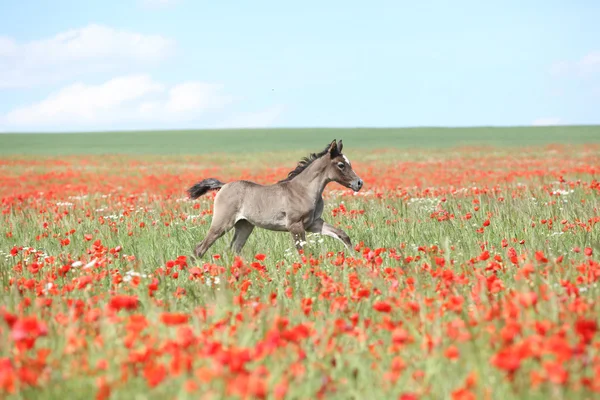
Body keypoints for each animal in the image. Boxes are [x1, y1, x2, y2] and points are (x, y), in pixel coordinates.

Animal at [190, 141, 364, 258]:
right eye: (341, 165)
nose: (359, 183)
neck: (303, 190)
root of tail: (223, 185)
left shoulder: (313, 223)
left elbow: (342, 235)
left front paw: (355, 257)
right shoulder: (295, 226)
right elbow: (302, 251)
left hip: (245, 226)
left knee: (233, 250)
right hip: (222, 224)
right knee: (200, 249)